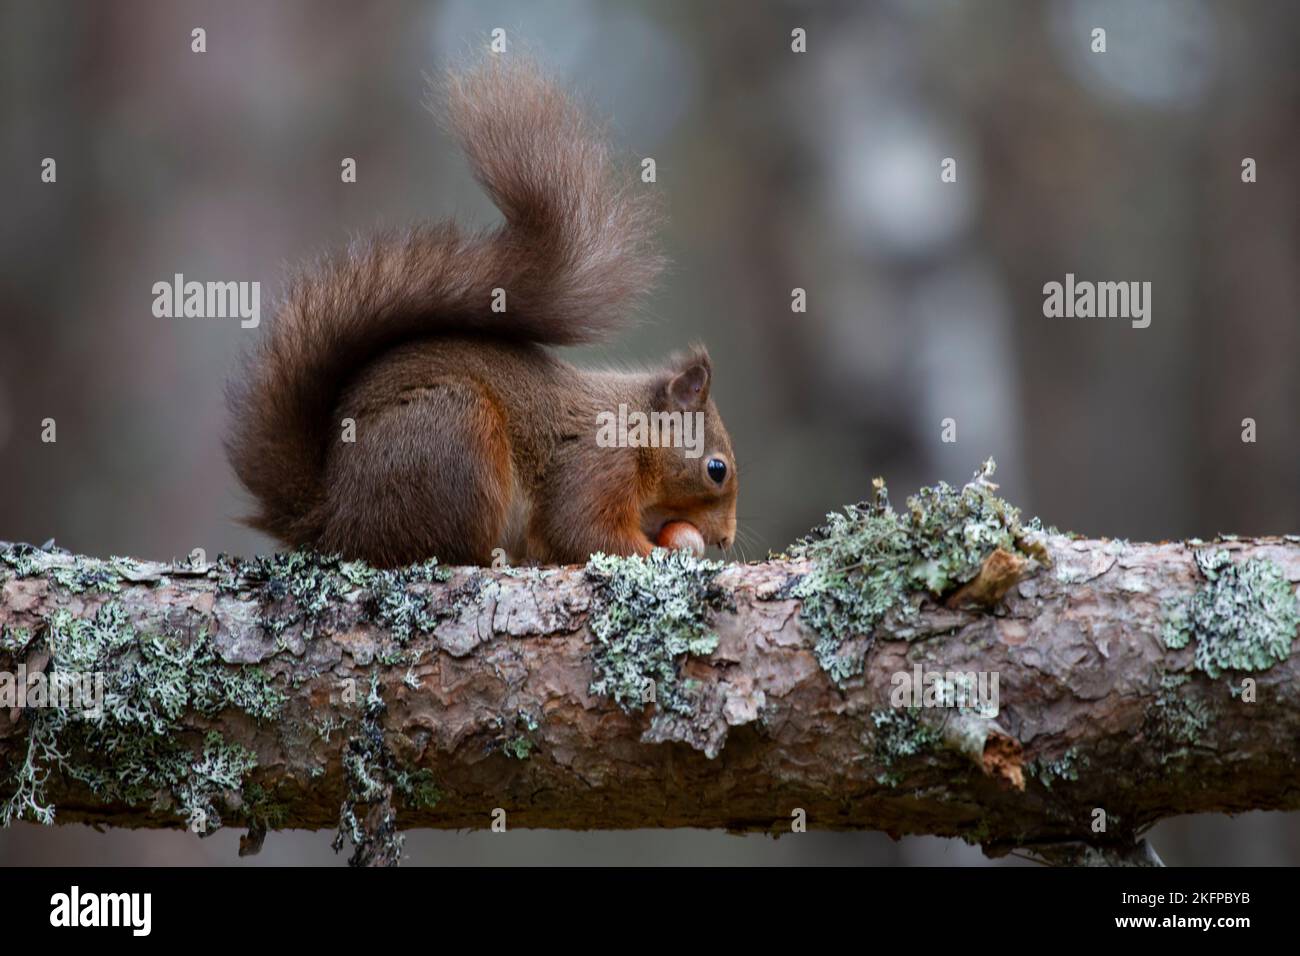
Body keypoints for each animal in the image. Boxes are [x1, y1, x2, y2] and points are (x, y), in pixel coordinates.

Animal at [223, 57, 738, 567]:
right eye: (717, 469)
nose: (726, 539)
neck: (638, 431)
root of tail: (329, 519)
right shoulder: (597, 464)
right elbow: (581, 529)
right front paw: (657, 551)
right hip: (453, 434)